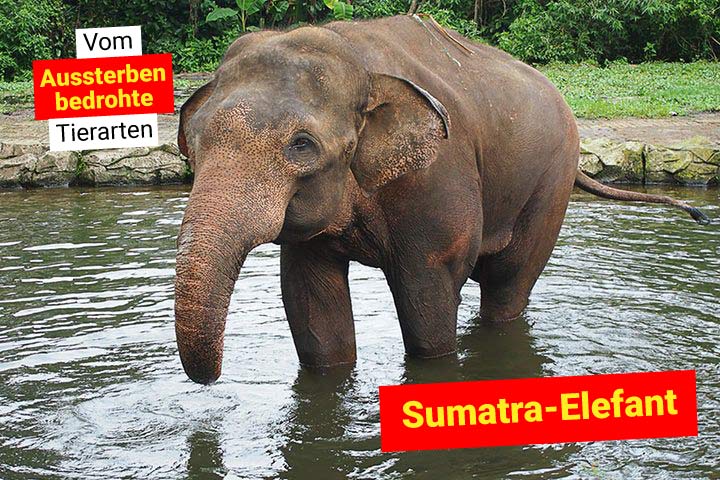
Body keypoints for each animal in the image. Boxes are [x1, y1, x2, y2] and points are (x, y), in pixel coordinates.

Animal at [175, 15, 709, 385]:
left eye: (301, 145)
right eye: (193, 142)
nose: (214, 378)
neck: (357, 58)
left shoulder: (439, 177)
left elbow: (426, 301)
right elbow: (313, 308)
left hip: (549, 182)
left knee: (508, 283)